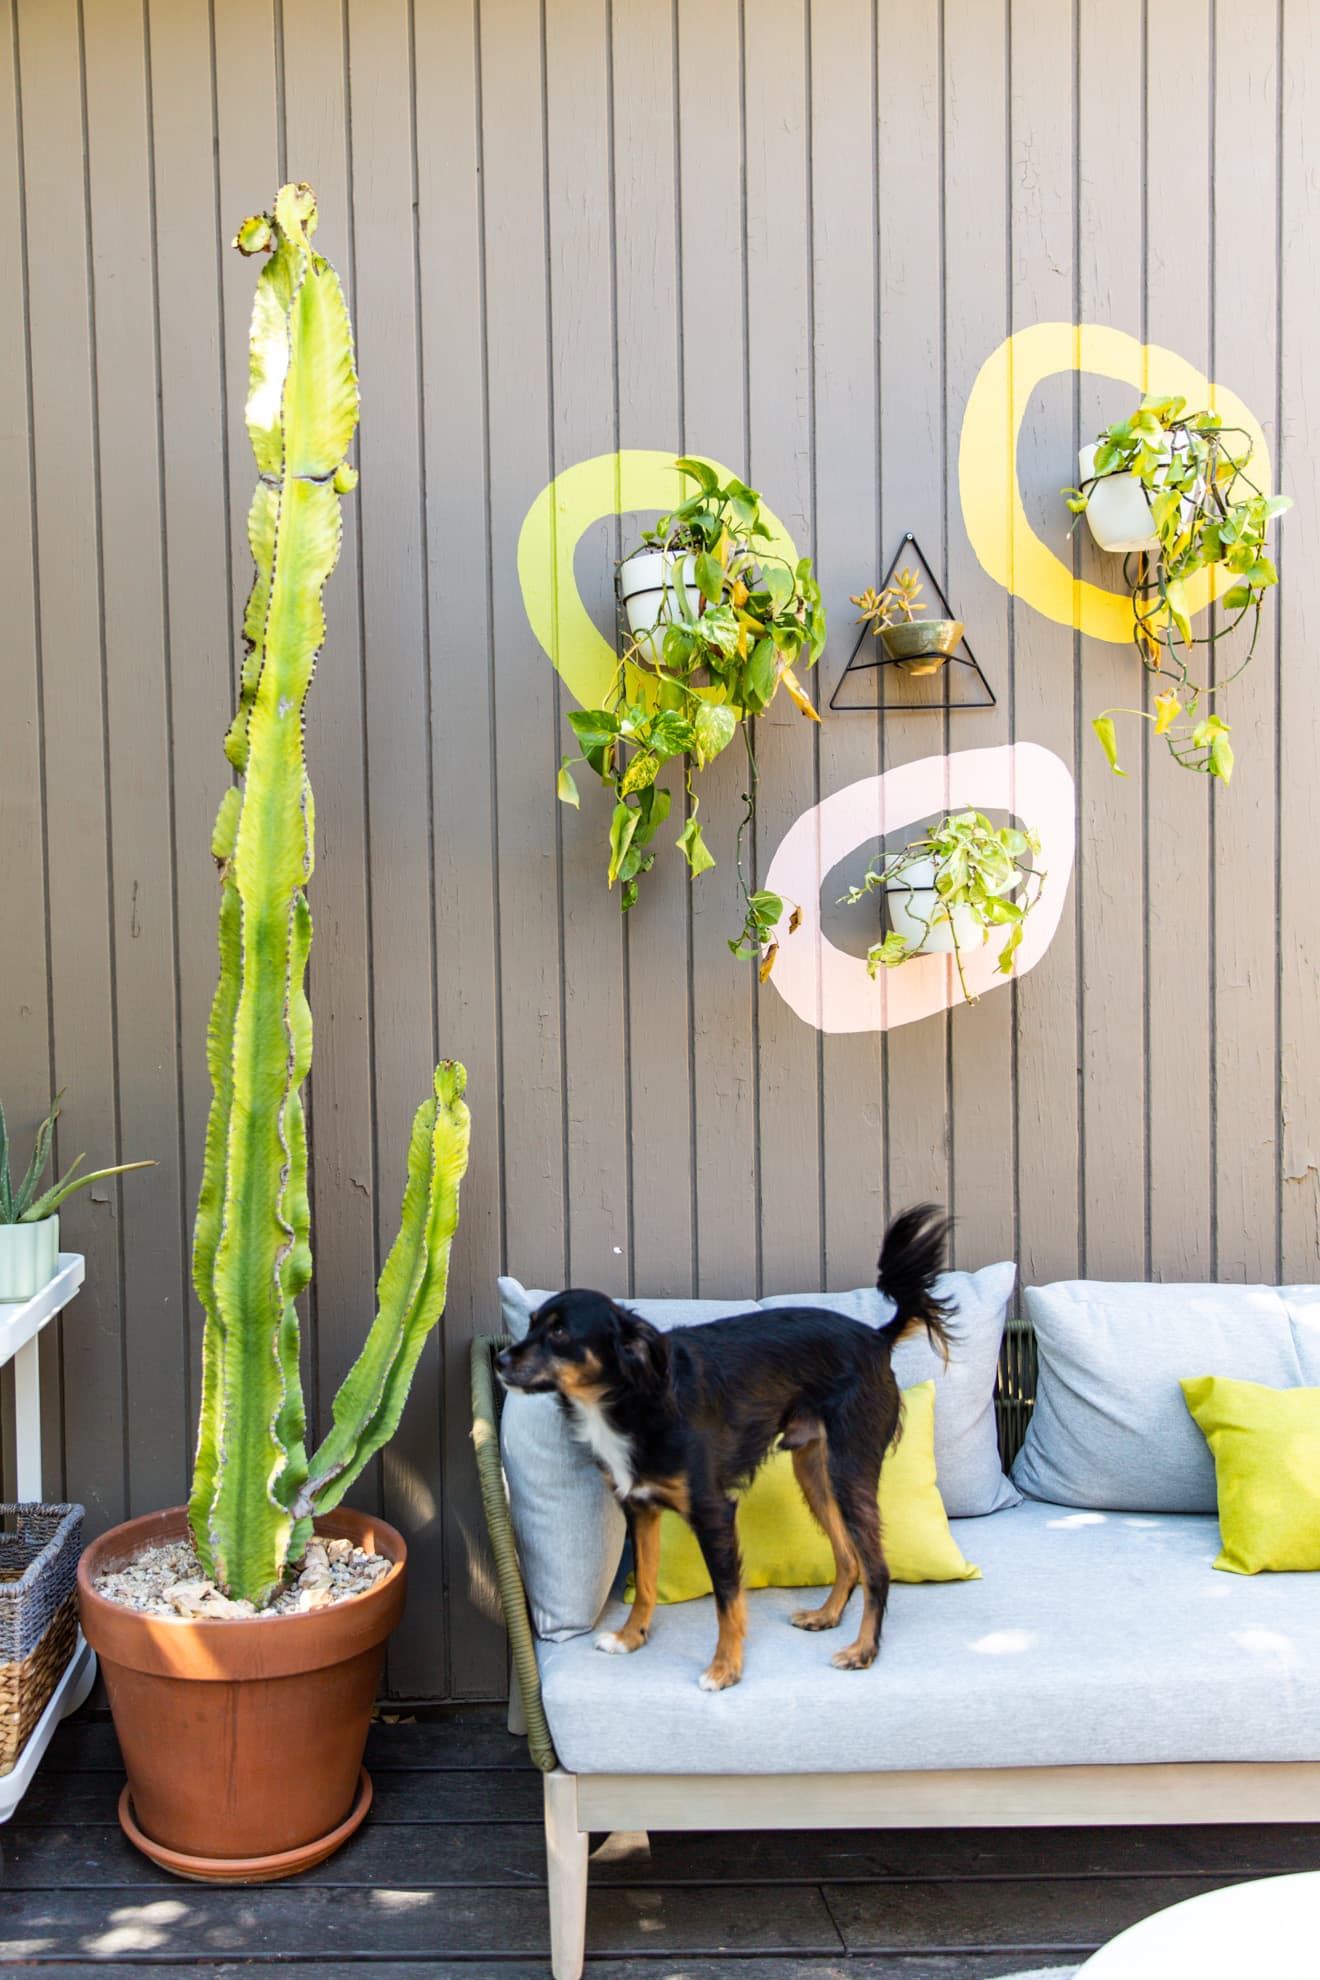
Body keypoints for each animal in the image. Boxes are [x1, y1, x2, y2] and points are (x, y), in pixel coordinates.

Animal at [494, 1203, 949, 1686]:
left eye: (560, 1334)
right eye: (531, 1325)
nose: (500, 1361)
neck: (632, 1398)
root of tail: (877, 1337)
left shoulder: (713, 1513)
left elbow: (727, 1598)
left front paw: (725, 1668)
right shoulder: (641, 1508)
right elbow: (647, 1582)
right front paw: (631, 1637)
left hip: (849, 1471)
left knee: (877, 1568)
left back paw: (863, 1650)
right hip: (814, 1471)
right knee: (849, 1557)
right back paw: (826, 1615)